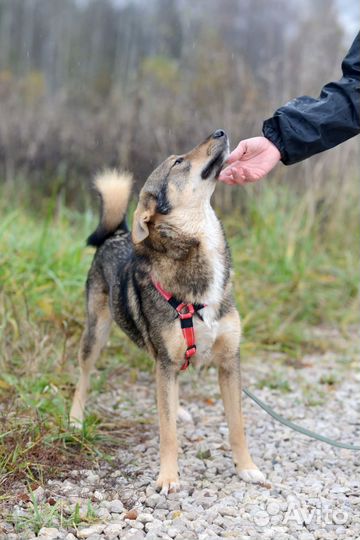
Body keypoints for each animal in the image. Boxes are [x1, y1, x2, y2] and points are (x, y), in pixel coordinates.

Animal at [70, 129, 266, 492]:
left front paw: (246, 468)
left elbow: (237, 426)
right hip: (97, 333)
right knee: (85, 374)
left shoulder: (229, 361)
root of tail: (117, 233)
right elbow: (167, 433)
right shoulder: (167, 360)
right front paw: (168, 477)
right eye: (178, 162)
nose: (219, 131)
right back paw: (75, 419)